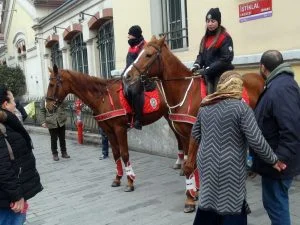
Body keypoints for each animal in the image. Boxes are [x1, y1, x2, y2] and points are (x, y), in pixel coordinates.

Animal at [46, 65, 184, 192]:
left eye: (52, 84)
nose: (48, 106)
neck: (103, 98)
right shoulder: (109, 131)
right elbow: (116, 154)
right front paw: (117, 178)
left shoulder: (119, 129)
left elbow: (124, 154)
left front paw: (130, 181)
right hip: (170, 117)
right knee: (179, 138)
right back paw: (180, 163)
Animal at [123, 35, 264, 213]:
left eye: (148, 55)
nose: (127, 76)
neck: (185, 91)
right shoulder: (184, 136)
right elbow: (191, 165)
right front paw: (194, 191)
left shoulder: (193, 134)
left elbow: (190, 165)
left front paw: (190, 200)